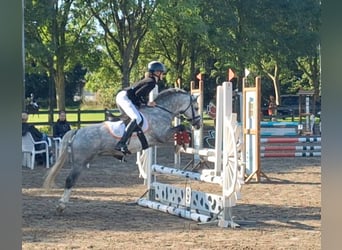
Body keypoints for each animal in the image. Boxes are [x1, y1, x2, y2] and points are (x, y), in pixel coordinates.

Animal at [43, 88, 202, 213]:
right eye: (196, 107)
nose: (199, 124)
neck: (160, 111)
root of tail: (77, 132)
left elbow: (182, 129)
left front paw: (182, 143)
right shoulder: (162, 136)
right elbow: (182, 127)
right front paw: (183, 142)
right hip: (80, 163)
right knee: (70, 180)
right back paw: (61, 205)